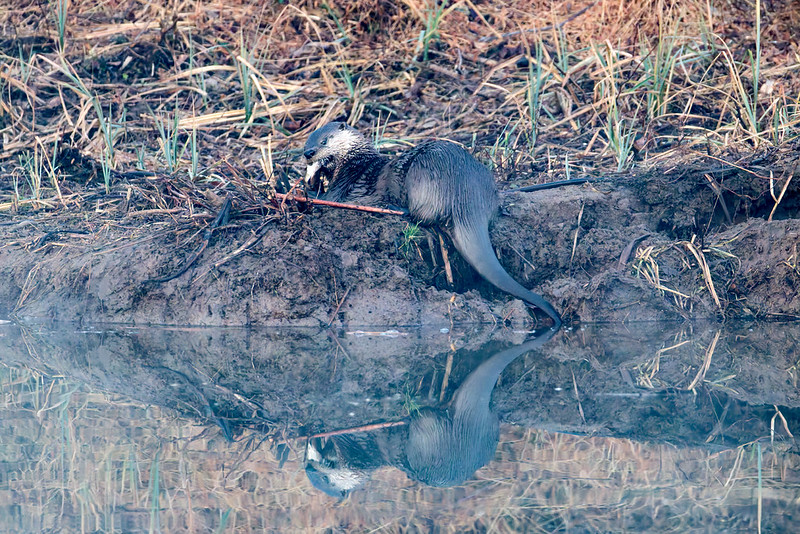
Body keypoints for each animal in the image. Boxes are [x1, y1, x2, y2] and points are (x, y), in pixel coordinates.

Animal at [303, 122, 562, 327]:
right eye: (308, 139)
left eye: (324, 140)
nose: (308, 153)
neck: (355, 163)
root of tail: (467, 196)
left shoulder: (345, 188)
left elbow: (328, 199)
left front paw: (310, 189)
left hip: (421, 176)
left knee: (422, 216)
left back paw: (398, 209)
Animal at [304, 327, 558, 497]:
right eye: (309, 469)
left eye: (325, 478)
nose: (308, 466)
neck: (366, 454)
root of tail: (471, 419)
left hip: (430, 427)